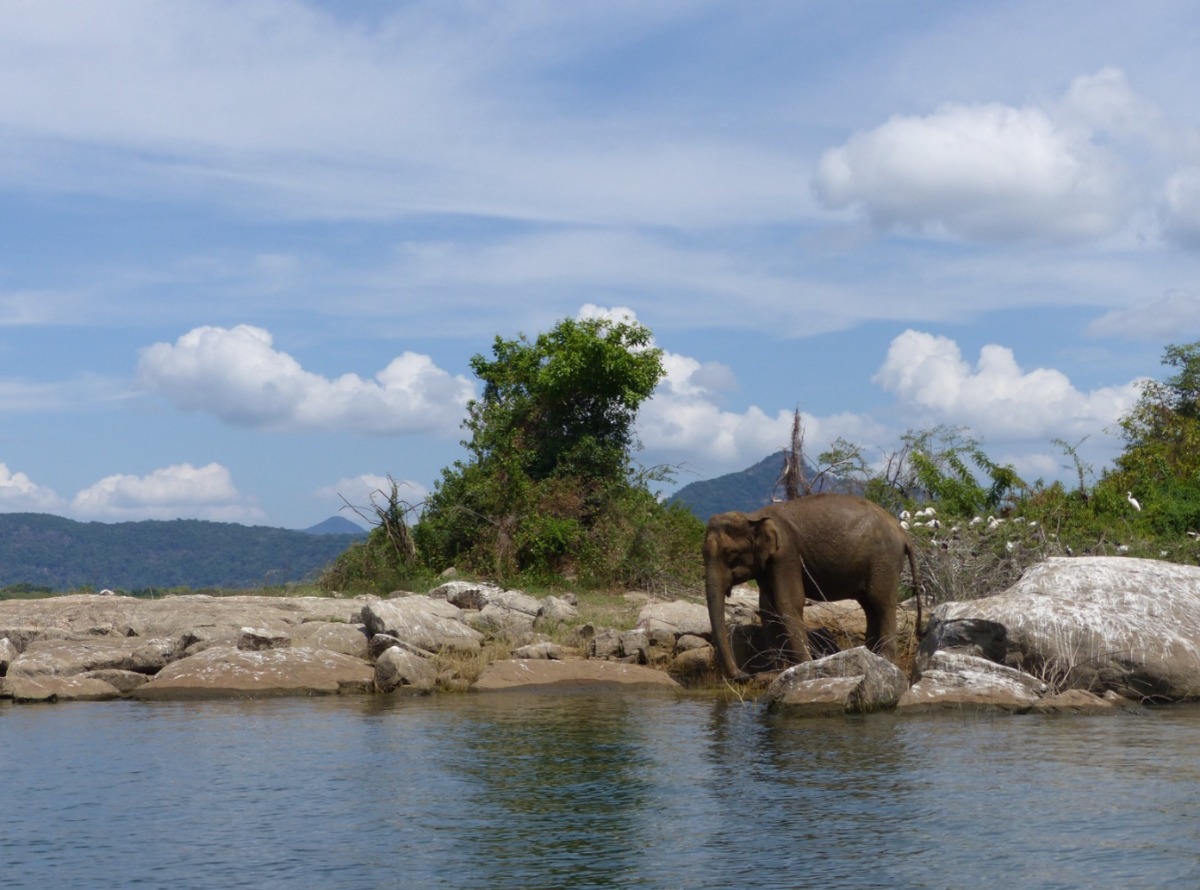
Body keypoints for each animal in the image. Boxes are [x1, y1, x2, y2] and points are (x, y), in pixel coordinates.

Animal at [700, 494, 916, 676]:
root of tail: (903, 533)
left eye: (729, 553)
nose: (743, 676)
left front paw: (804, 665)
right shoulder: (768, 565)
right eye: (703, 552)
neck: (753, 516)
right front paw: (776, 670)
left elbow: (788, 603)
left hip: (884, 561)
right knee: (870, 607)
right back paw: (871, 656)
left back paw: (886, 660)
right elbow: (767, 608)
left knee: (881, 602)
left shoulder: (786, 555)